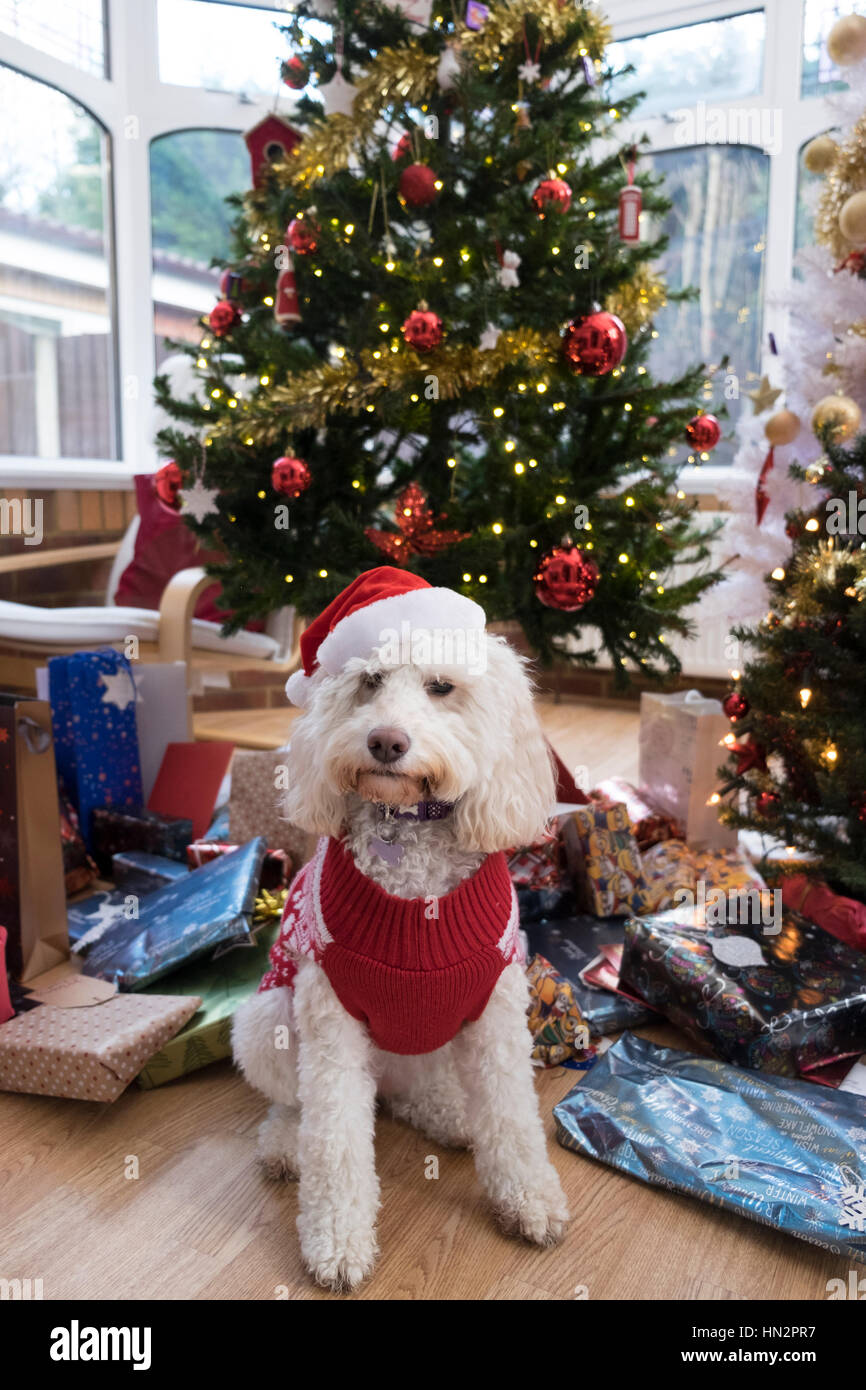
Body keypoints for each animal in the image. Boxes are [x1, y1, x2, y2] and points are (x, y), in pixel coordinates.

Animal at [232, 564, 569, 1289]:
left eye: (442, 687)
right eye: (369, 681)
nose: (386, 741)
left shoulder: (496, 1014)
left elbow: (512, 1119)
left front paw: (529, 1199)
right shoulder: (330, 1021)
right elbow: (334, 1141)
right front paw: (336, 1242)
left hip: (434, 1040)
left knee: (417, 1093)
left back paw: (450, 1115)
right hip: (268, 1021)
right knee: (298, 1109)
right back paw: (284, 1145)